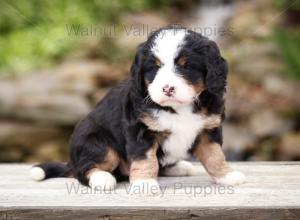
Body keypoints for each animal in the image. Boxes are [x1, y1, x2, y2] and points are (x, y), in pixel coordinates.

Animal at [31, 25, 246, 196]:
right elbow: (145, 160)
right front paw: (144, 184)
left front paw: (227, 176)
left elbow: (215, 156)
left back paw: (179, 166)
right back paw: (102, 178)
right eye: (155, 68)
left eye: (186, 66)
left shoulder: (208, 129)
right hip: (97, 142)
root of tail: (72, 161)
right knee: (84, 170)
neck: (179, 108)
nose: (167, 88)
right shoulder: (140, 129)